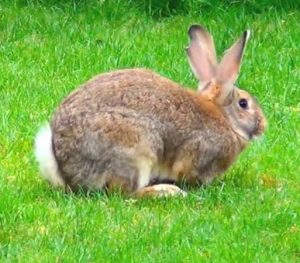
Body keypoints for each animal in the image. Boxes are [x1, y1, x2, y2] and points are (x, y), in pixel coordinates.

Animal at [34, 25, 266, 198]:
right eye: (244, 103)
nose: (264, 125)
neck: (225, 118)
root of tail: (64, 168)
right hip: (137, 149)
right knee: (125, 193)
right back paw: (167, 192)